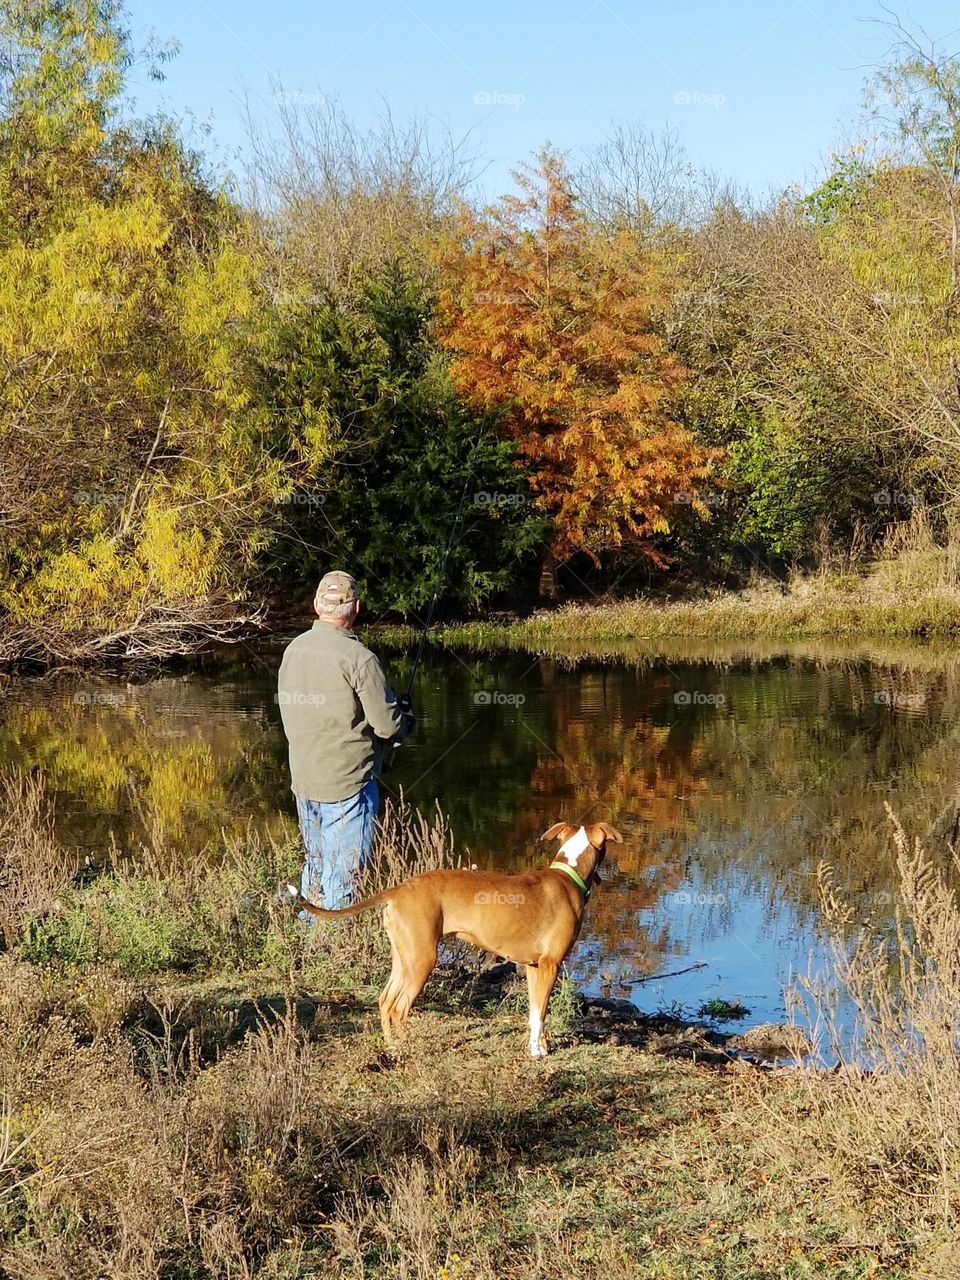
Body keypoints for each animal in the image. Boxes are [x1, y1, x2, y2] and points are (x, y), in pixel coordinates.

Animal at [289, 819, 624, 1059]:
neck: (569, 875)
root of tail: (399, 889)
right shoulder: (551, 965)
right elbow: (541, 1013)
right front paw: (537, 1052)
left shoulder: (533, 967)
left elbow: (533, 1011)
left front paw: (538, 1046)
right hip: (423, 960)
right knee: (399, 1008)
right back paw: (407, 1049)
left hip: (404, 958)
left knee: (385, 1001)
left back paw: (392, 1045)